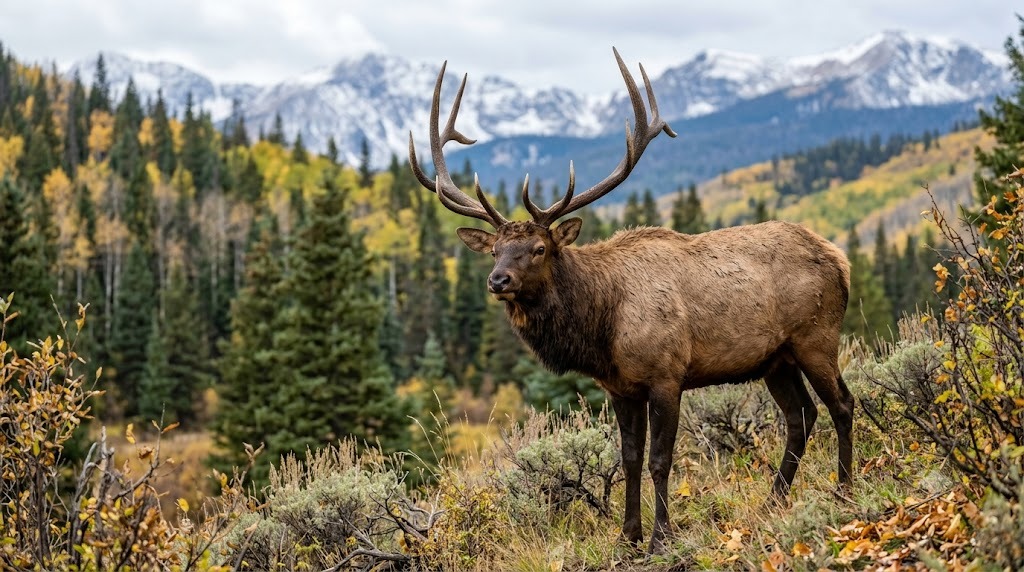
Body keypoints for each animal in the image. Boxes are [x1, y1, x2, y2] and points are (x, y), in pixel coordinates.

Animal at [408, 48, 855, 554]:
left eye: (539, 249)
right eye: (496, 249)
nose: (497, 279)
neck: (603, 328)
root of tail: (840, 259)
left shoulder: (666, 375)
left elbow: (660, 459)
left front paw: (661, 536)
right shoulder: (620, 387)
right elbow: (630, 460)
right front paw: (628, 536)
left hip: (816, 337)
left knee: (842, 404)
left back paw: (843, 490)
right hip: (775, 359)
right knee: (801, 416)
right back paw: (774, 499)